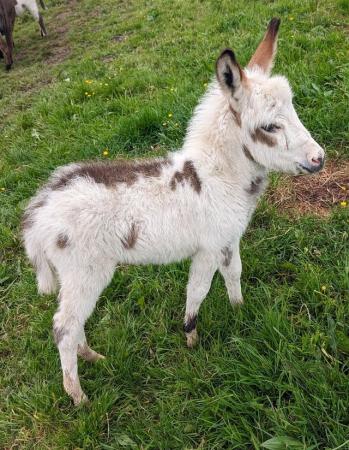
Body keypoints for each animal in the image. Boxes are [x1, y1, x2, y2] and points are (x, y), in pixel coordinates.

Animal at [23, 19, 324, 404]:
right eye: (270, 127)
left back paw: (91, 356)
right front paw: (191, 338)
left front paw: (240, 311)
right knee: (64, 326)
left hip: (76, 277)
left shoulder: (227, 241)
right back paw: (79, 396)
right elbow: (197, 291)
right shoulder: (207, 249)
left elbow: (234, 275)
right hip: (86, 272)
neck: (215, 176)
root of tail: (38, 210)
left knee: (72, 323)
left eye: (294, 110)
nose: (319, 159)